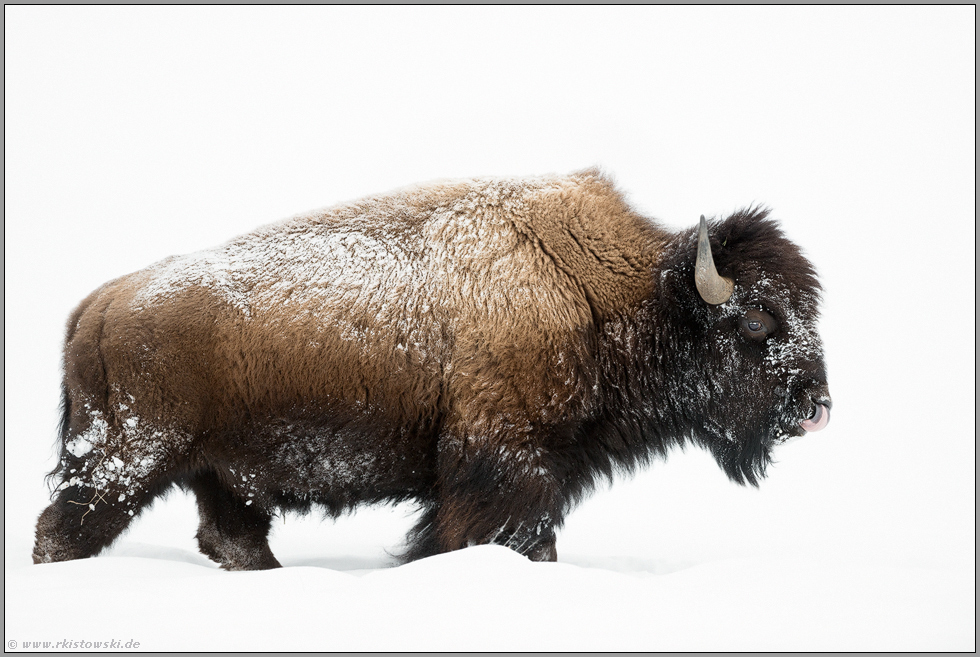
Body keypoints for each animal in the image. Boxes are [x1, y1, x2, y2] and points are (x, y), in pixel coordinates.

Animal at [32, 170, 828, 568]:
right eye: (757, 321)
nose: (817, 406)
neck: (605, 293)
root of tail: (98, 305)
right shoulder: (506, 461)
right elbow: (511, 535)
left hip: (216, 473)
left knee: (232, 536)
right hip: (128, 459)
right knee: (65, 527)